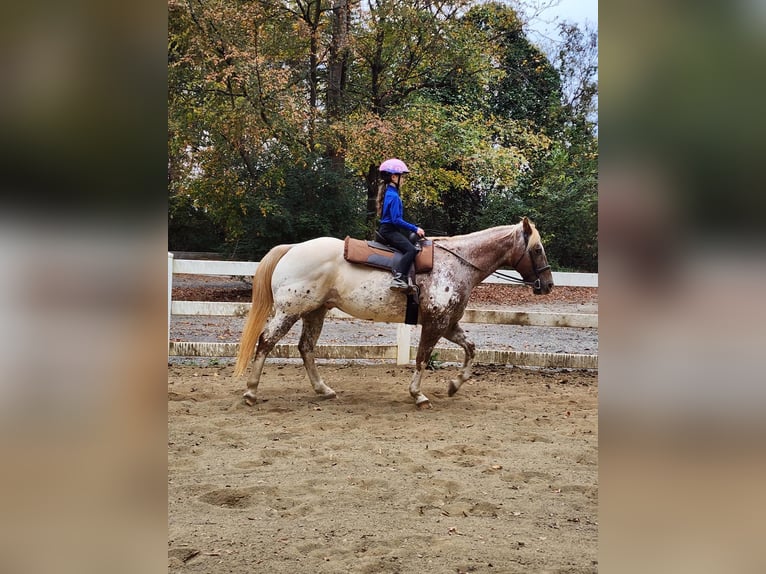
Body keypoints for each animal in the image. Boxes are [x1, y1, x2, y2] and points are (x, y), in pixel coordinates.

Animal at [231, 217, 556, 410]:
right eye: (537, 249)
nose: (548, 285)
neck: (457, 263)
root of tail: (292, 248)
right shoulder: (435, 323)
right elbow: (423, 358)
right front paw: (418, 395)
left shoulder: (448, 323)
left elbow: (471, 349)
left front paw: (454, 385)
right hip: (290, 311)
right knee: (266, 342)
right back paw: (250, 392)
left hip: (315, 312)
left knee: (306, 348)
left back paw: (323, 390)